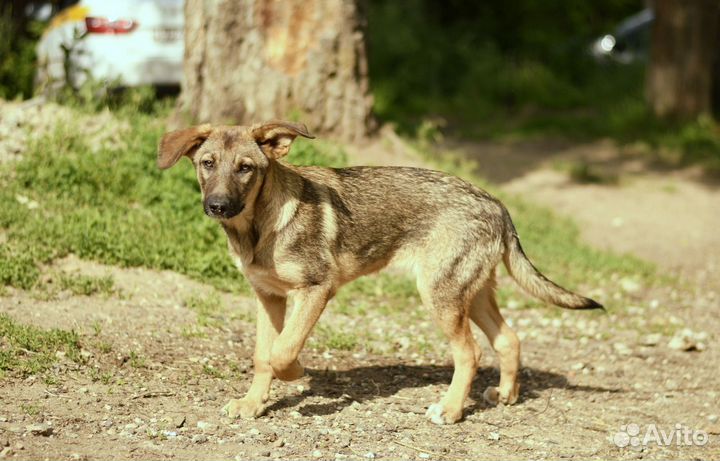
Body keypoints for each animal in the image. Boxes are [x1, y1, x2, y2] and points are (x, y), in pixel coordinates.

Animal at [159, 119, 600, 424]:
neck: (259, 226)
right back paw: (505, 395)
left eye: (245, 168)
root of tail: (498, 205)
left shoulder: (316, 289)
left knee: (470, 352)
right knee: (508, 339)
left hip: (441, 295)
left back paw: (450, 410)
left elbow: (284, 350)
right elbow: (263, 355)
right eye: (207, 164)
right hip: (469, 293)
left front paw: (297, 372)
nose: (217, 205)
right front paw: (253, 403)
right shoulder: (268, 297)